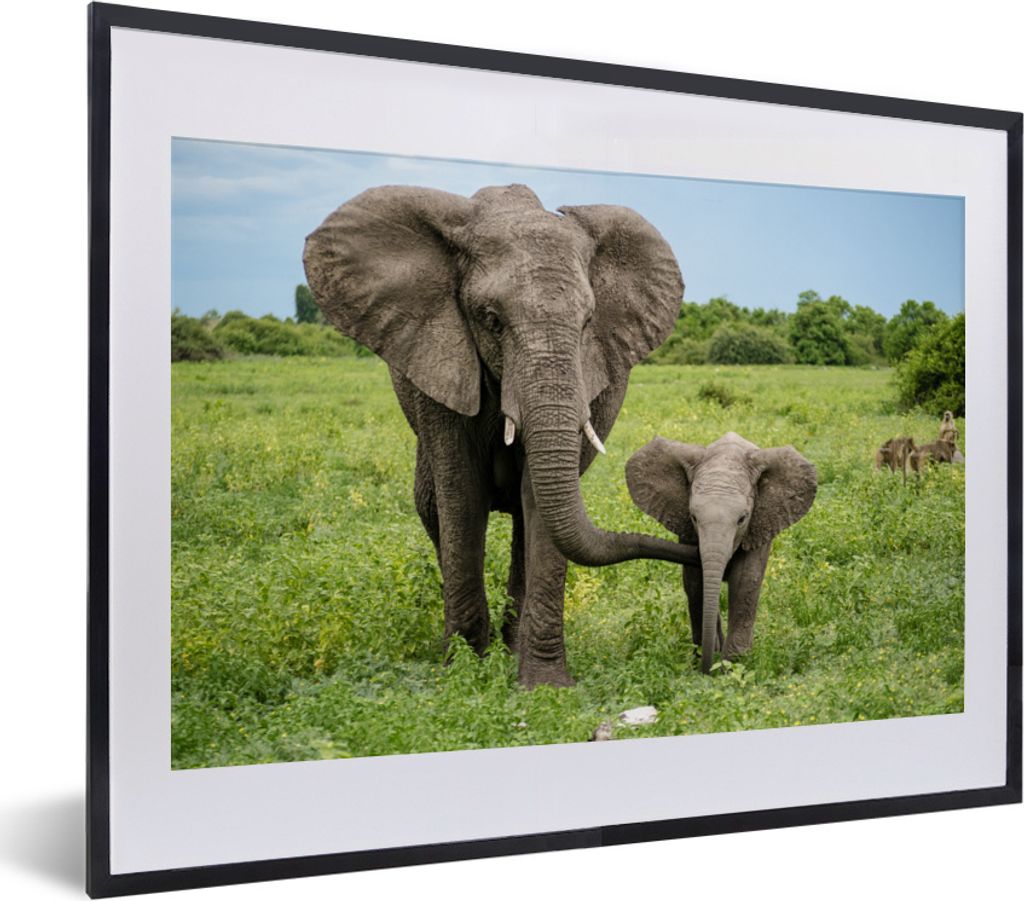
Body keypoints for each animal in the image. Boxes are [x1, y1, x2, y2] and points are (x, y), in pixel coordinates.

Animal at [303, 183, 699, 688]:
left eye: (588, 322)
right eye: (490, 319)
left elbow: (538, 501)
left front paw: (544, 686)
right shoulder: (440, 362)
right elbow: (461, 496)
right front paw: (463, 672)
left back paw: (512, 647)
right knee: (431, 507)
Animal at [626, 432, 817, 673]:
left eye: (742, 519)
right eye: (693, 517)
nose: (707, 670)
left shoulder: (760, 524)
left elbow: (745, 582)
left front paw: (733, 665)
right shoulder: (686, 529)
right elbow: (696, 583)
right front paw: (706, 657)